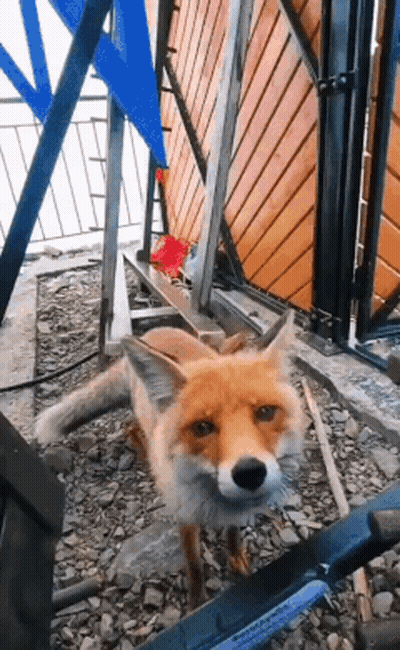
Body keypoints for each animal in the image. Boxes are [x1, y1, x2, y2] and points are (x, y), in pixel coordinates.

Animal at [35, 310, 304, 609]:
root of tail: (156, 331)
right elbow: (194, 564)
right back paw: (145, 456)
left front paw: (236, 557)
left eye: (265, 412)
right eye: (202, 427)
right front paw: (197, 603)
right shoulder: (183, 515)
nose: (249, 473)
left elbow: (233, 533)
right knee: (130, 428)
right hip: (143, 412)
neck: (211, 496)